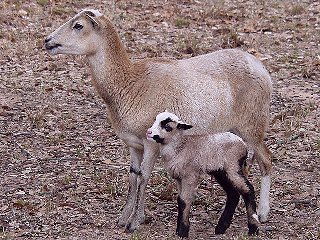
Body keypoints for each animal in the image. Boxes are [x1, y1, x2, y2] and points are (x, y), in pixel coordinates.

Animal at [43, 8, 272, 232]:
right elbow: (132, 176)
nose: (47, 40)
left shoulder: (150, 143)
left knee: (266, 161)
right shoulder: (133, 145)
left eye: (78, 25)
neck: (128, 83)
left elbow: (143, 177)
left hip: (253, 125)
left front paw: (135, 221)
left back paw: (262, 213)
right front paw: (124, 217)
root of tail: (261, 68)